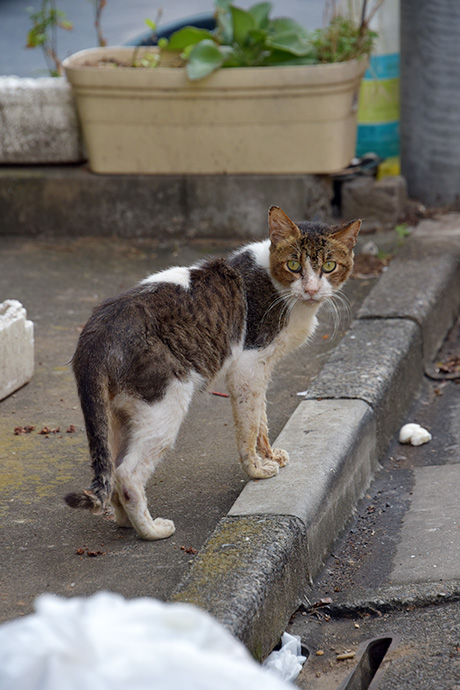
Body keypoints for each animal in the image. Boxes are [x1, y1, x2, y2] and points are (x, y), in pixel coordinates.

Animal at [64, 204, 362, 536]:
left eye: (330, 266)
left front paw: (270, 455)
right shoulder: (248, 366)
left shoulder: (262, 370)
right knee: (128, 473)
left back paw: (126, 522)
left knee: (114, 470)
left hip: (118, 414)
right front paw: (257, 469)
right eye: (294, 265)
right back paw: (151, 531)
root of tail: (95, 332)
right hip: (164, 403)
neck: (283, 292)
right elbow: (249, 426)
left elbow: (262, 419)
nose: (311, 289)